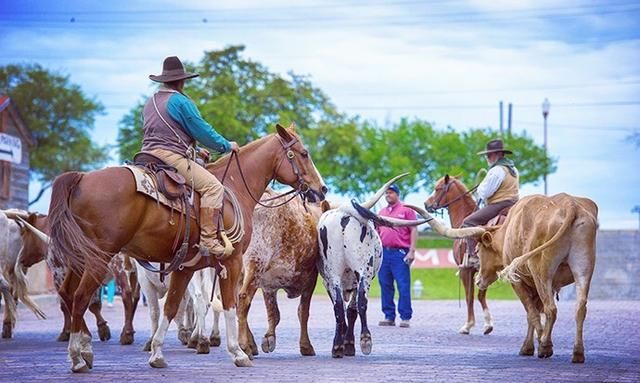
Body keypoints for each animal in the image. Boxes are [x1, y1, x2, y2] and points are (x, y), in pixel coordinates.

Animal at [48, 124, 328, 374]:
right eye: (304, 153)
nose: (322, 188)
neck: (234, 187)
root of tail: (81, 177)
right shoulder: (232, 262)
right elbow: (230, 305)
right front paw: (238, 352)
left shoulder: (185, 267)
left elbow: (171, 307)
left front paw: (157, 354)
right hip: (99, 259)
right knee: (81, 298)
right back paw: (78, 357)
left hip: (80, 260)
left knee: (69, 295)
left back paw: (84, 350)